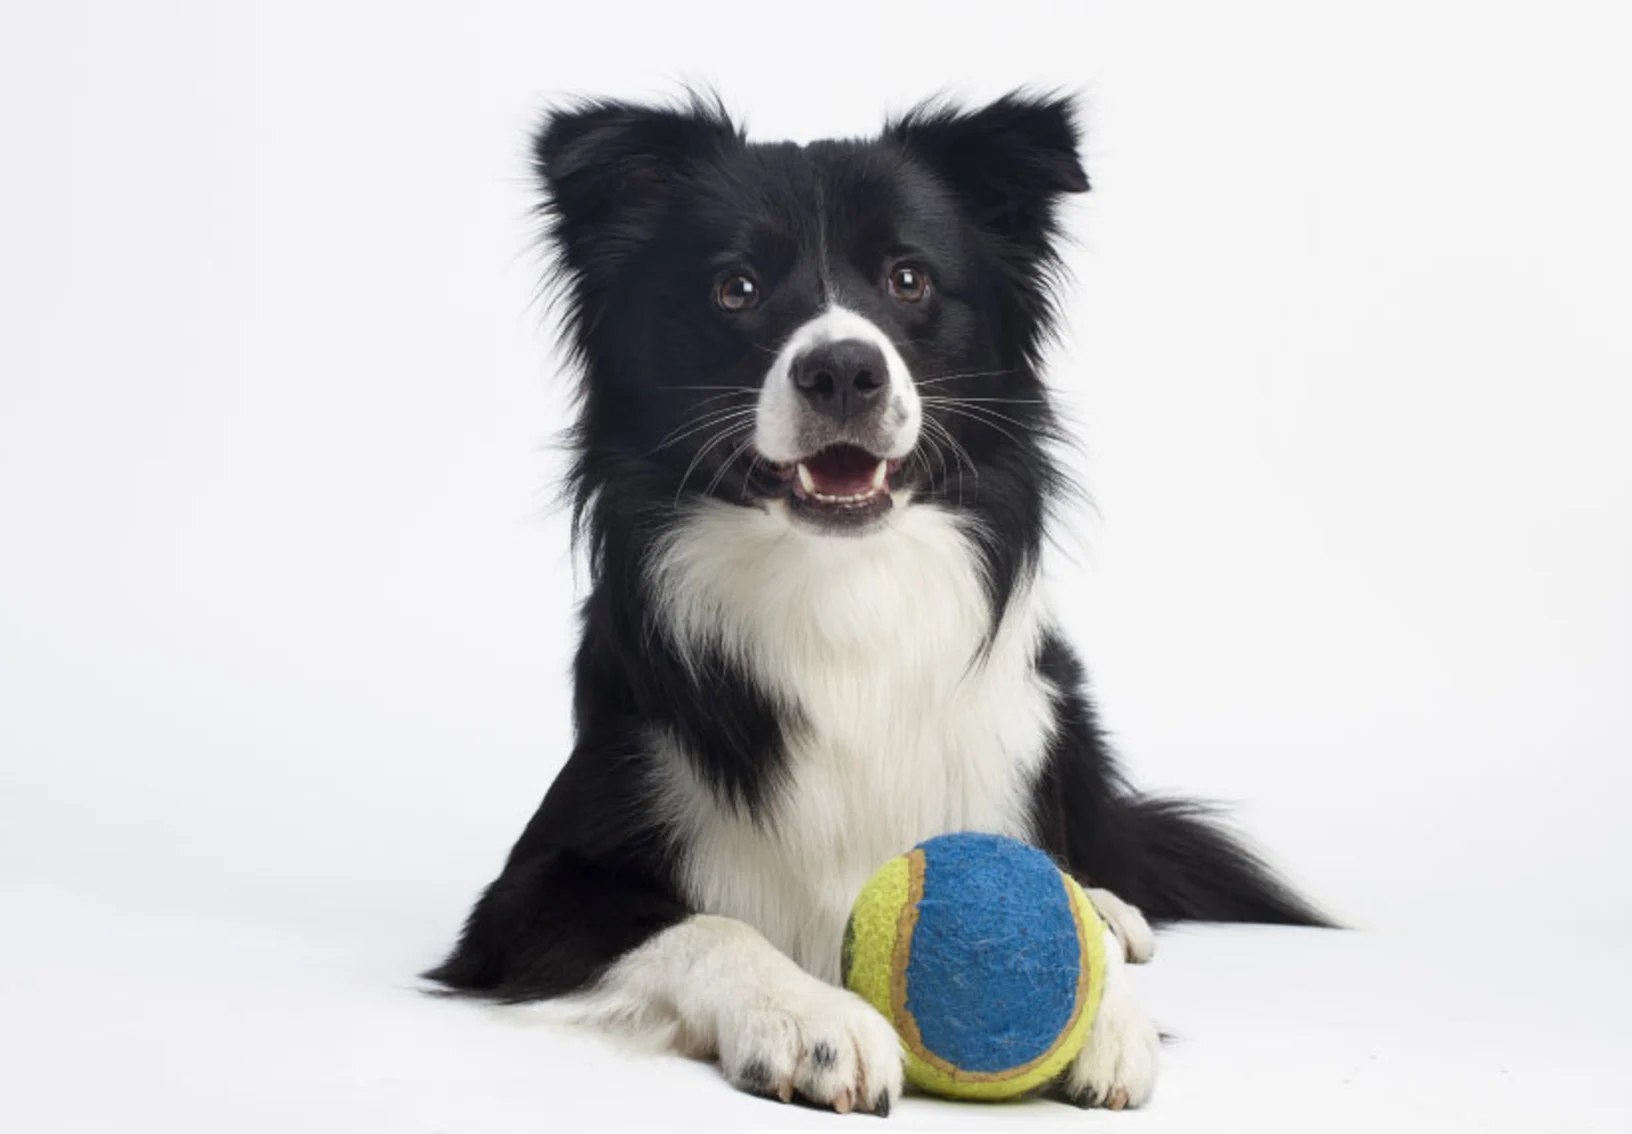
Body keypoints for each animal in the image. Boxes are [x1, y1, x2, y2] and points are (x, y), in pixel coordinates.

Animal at [424, 88, 1325, 1116]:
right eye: (736, 288)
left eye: (909, 279)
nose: (844, 370)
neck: (838, 589)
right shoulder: (525, 894)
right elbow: (704, 925)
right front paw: (809, 1019)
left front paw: (1104, 1006)